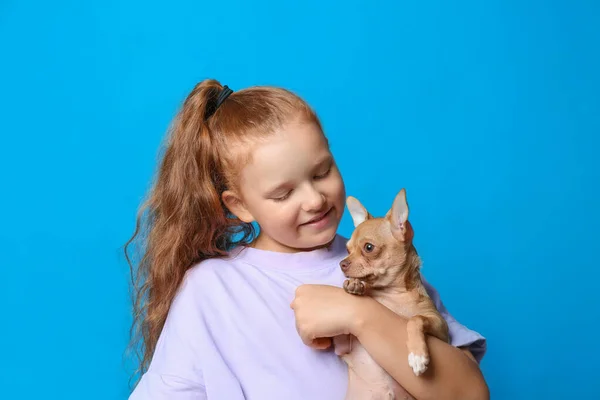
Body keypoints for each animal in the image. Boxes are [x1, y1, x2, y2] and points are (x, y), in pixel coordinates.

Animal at [336, 188, 448, 400]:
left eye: (368, 248)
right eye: (347, 249)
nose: (342, 263)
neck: (392, 295)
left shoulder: (442, 330)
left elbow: (415, 319)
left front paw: (418, 356)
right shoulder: (343, 348)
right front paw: (355, 284)